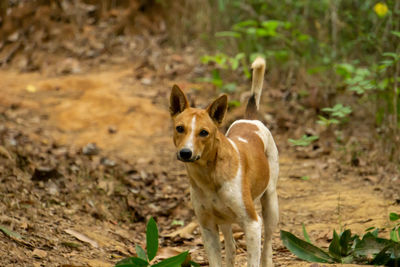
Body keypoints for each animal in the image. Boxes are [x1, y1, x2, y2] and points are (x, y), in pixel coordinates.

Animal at [168, 58, 278, 267]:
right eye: (179, 128)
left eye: (204, 132)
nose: (185, 153)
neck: (209, 175)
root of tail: (250, 120)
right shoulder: (208, 227)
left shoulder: (252, 224)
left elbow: (253, 259)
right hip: (225, 219)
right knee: (232, 246)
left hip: (270, 203)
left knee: (268, 243)